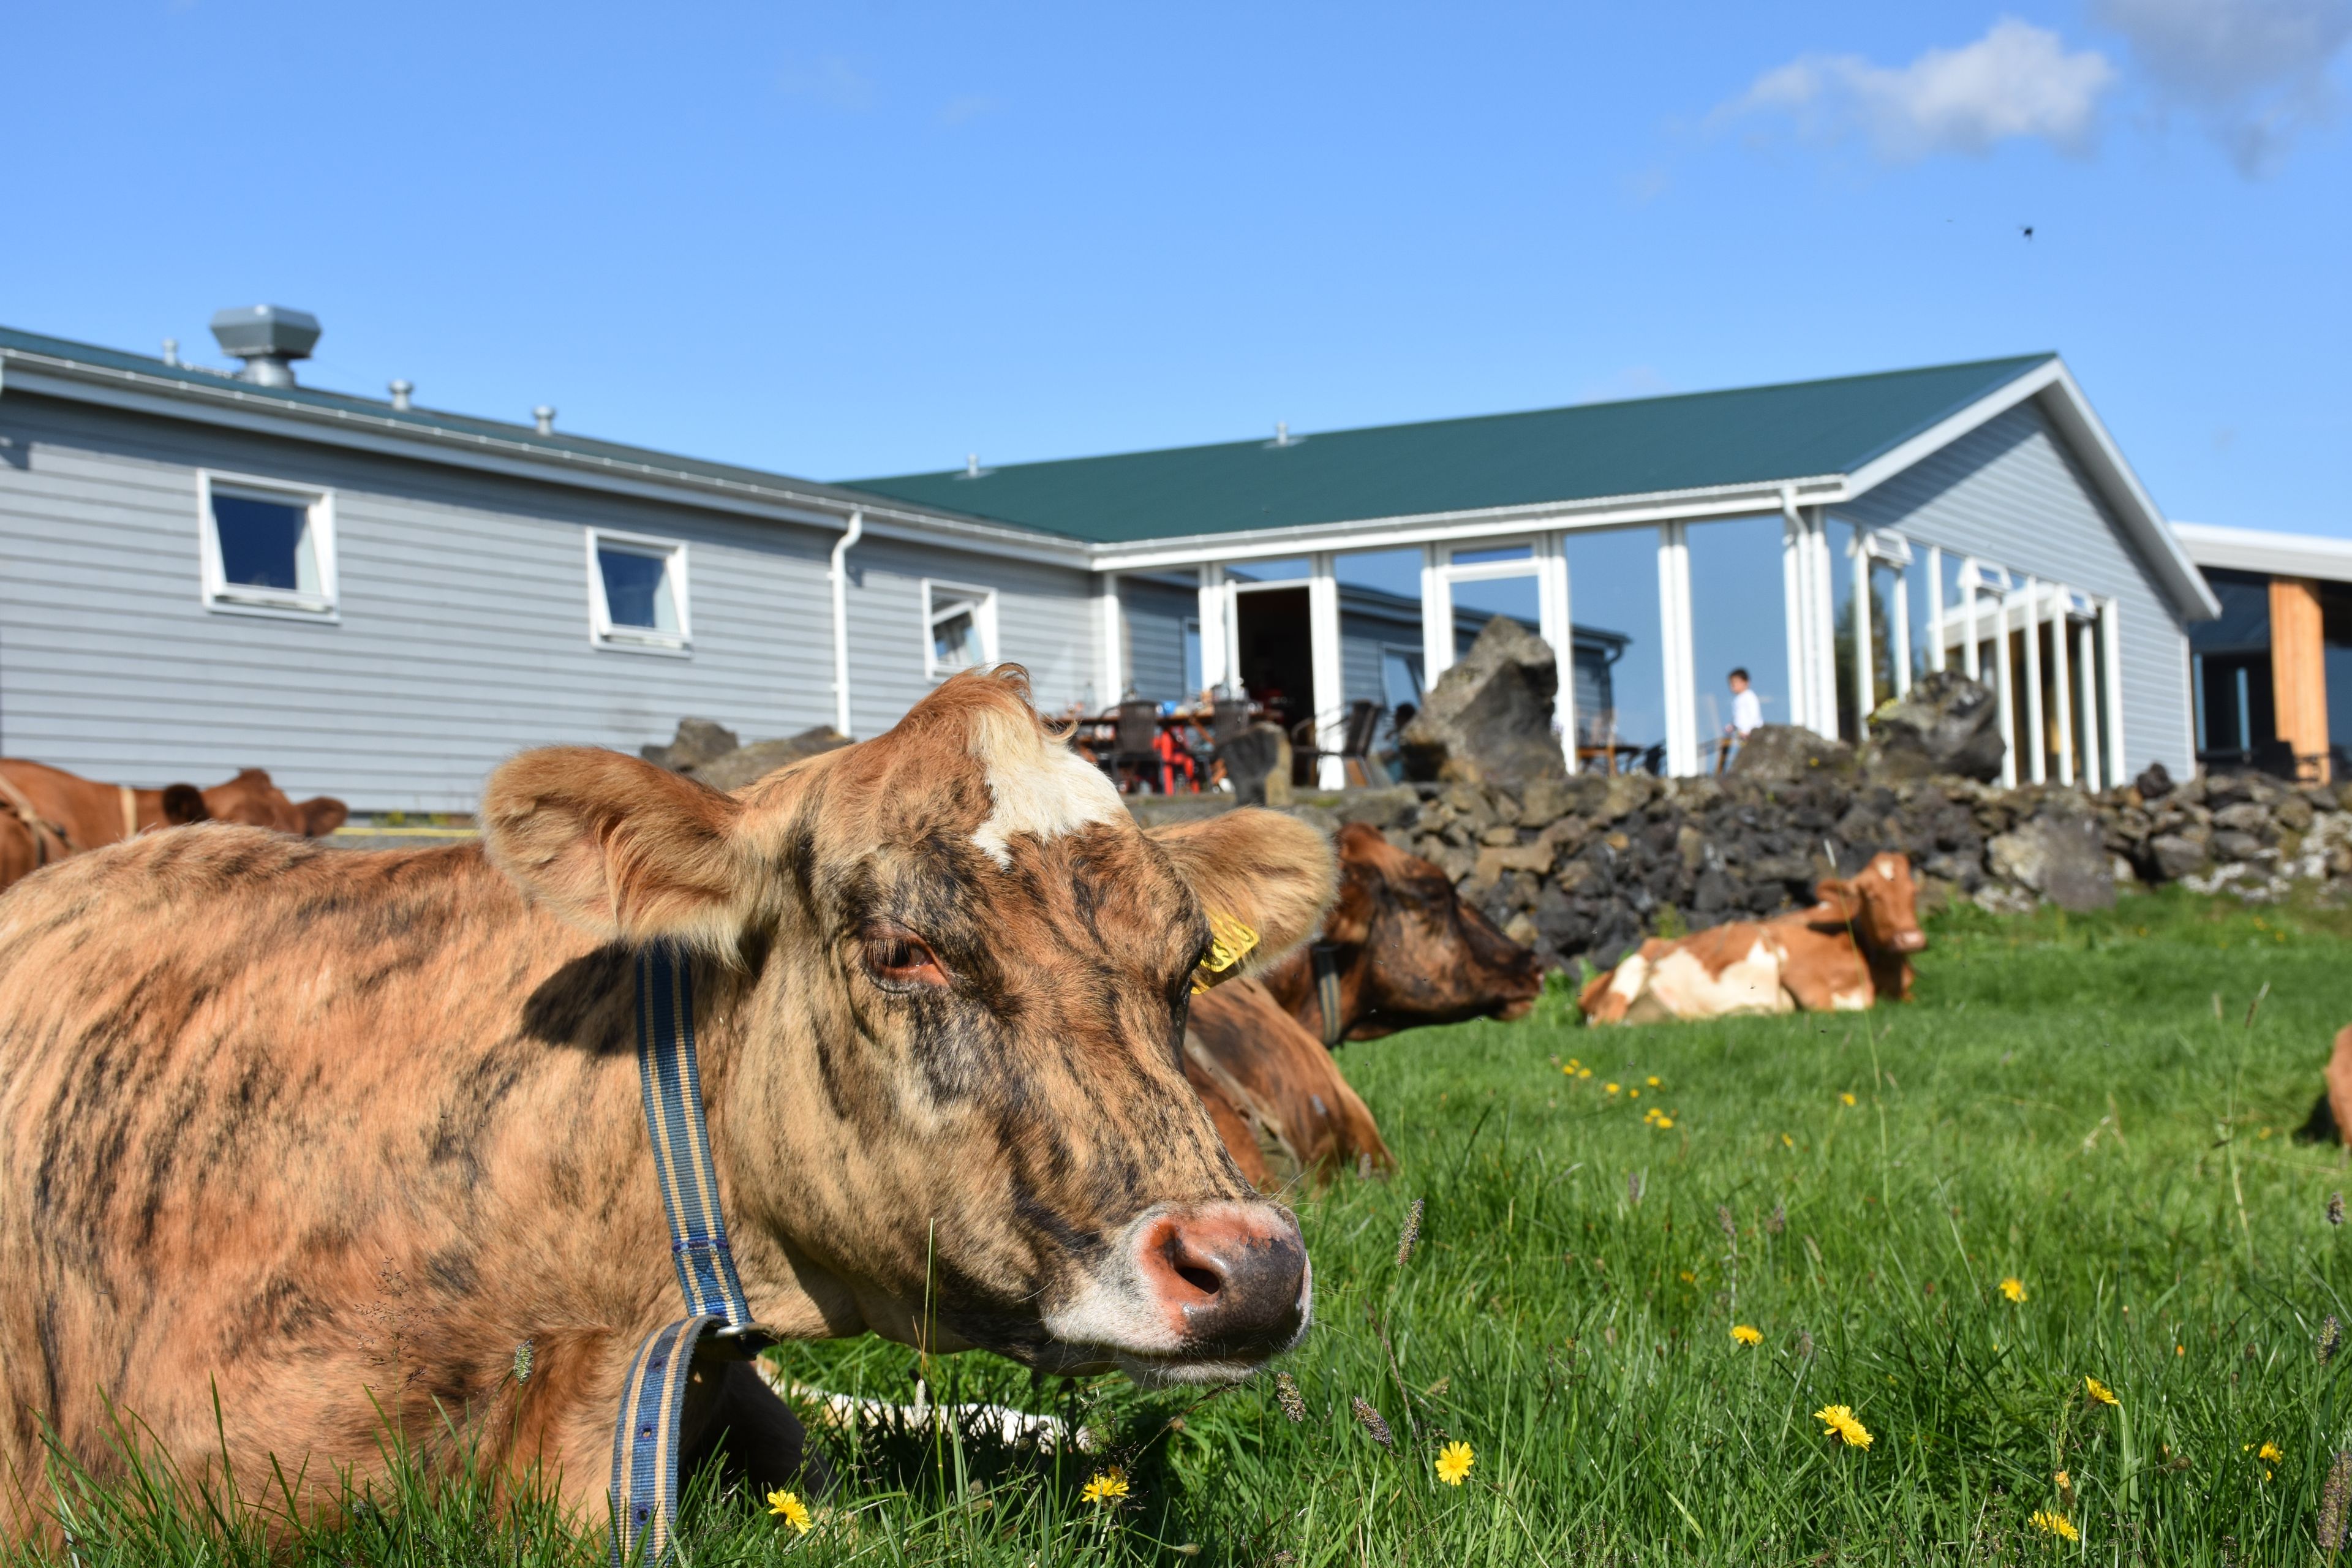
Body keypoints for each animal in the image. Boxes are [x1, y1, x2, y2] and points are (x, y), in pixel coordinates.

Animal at [1579, 851, 1926, 1025]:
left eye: (1913, 891)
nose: (1911, 939)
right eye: (1870, 895)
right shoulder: (1800, 975)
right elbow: (1829, 1008)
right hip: (1630, 971)